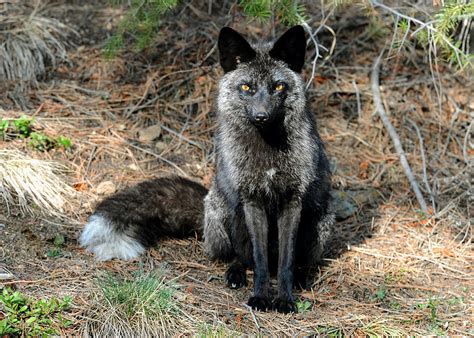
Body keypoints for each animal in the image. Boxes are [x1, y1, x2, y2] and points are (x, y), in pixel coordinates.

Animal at [80, 26, 334, 314]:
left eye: (278, 86)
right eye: (247, 87)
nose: (261, 116)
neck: (268, 152)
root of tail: (205, 205)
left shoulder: (293, 201)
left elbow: (286, 262)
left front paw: (284, 299)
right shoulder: (252, 199)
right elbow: (259, 261)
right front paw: (259, 297)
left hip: (320, 221)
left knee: (299, 261)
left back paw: (302, 277)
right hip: (225, 215)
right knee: (240, 257)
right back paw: (235, 274)